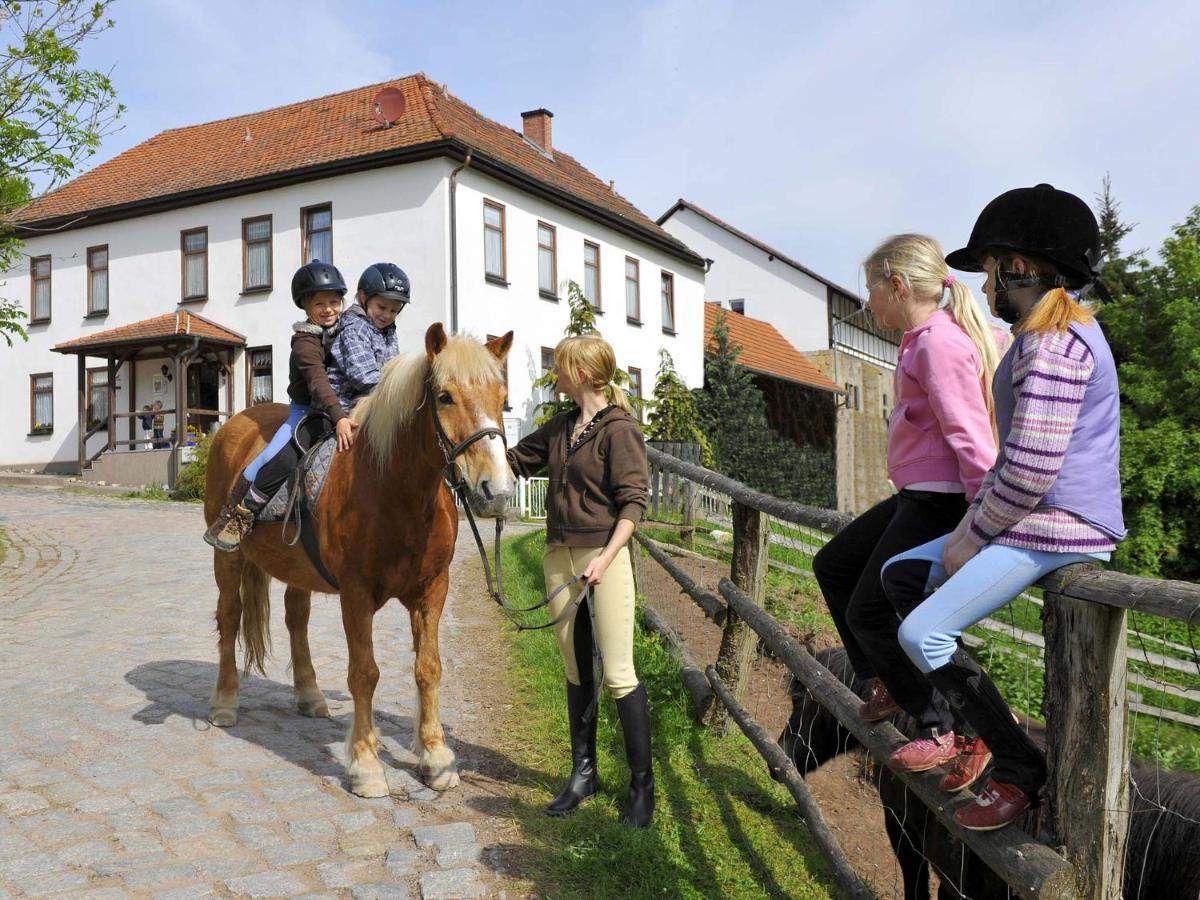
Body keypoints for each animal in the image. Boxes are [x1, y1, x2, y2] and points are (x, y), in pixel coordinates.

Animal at [201, 326, 511, 796]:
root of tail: (233, 425)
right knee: (230, 616)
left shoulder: (432, 590)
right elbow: (364, 673)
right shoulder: (357, 594)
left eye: (502, 395)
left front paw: (436, 758)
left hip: (298, 569)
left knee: (296, 617)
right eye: (445, 396)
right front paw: (366, 765)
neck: (394, 488)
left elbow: (428, 668)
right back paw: (223, 702)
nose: (496, 490)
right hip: (228, 562)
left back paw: (309, 696)